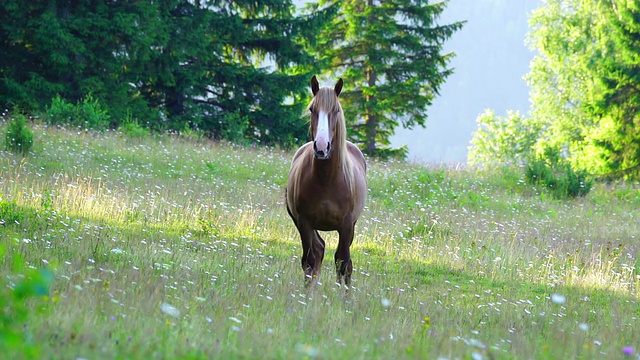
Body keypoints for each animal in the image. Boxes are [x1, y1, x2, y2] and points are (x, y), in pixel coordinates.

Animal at [284, 76, 364, 290]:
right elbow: (309, 261)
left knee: (343, 262)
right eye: (312, 109)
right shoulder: (304, 222)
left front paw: (342, 298)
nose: (321, 147)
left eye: (336, 110)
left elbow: (343, 263)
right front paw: (307, 295)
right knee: (318, 252)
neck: (327, 180)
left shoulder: (346, 226)